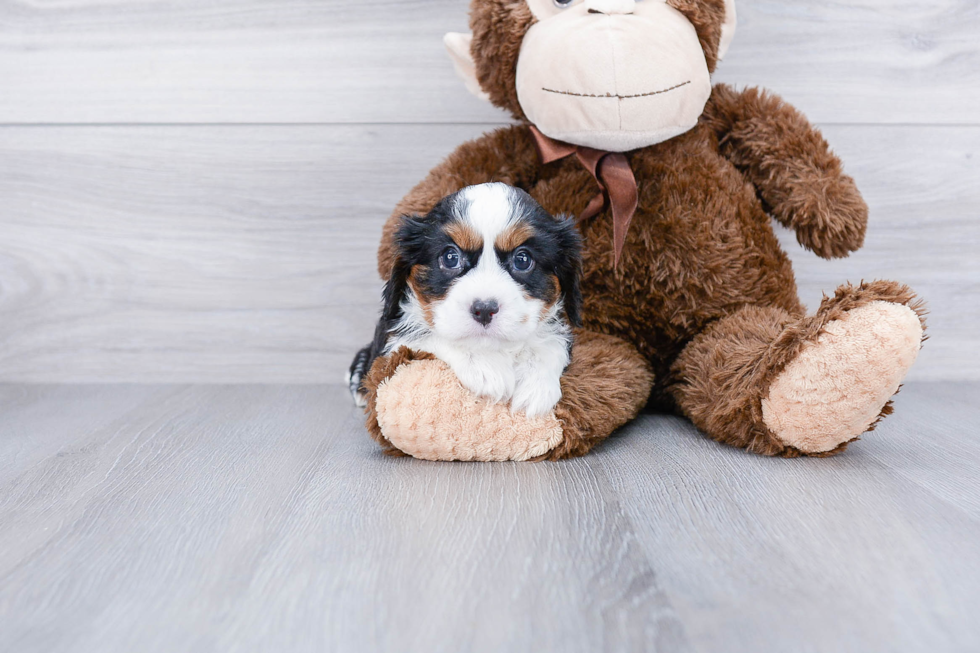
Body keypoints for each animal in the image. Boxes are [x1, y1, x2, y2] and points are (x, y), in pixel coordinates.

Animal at [346, 182, 580, 418]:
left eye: (522, 260)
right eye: (450, 257)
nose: (484, 309)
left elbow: (551, 343)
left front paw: (536, 387)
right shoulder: (394, 336)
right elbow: (430, 335)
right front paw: (485, 367)